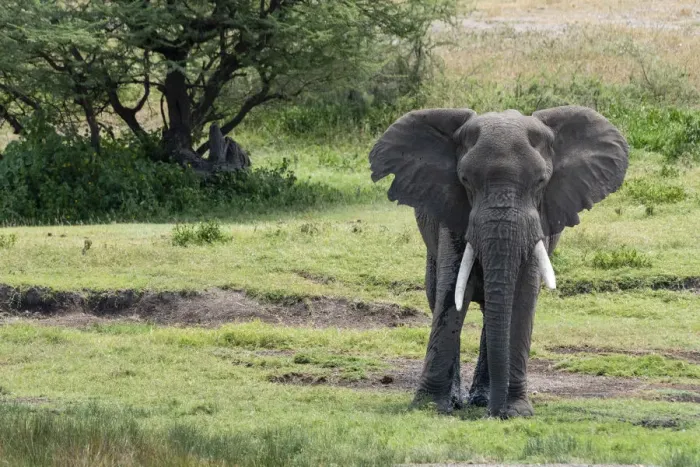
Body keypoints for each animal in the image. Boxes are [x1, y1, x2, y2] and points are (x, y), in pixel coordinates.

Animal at [369, 106, 628, 418]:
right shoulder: (453, 210)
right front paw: (430, 407)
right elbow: (452, 294)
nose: (495, 413)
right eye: (465, 180)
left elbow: (522, 297)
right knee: (436, 295)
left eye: (541, 182)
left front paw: (516, 411)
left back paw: (482, 398)